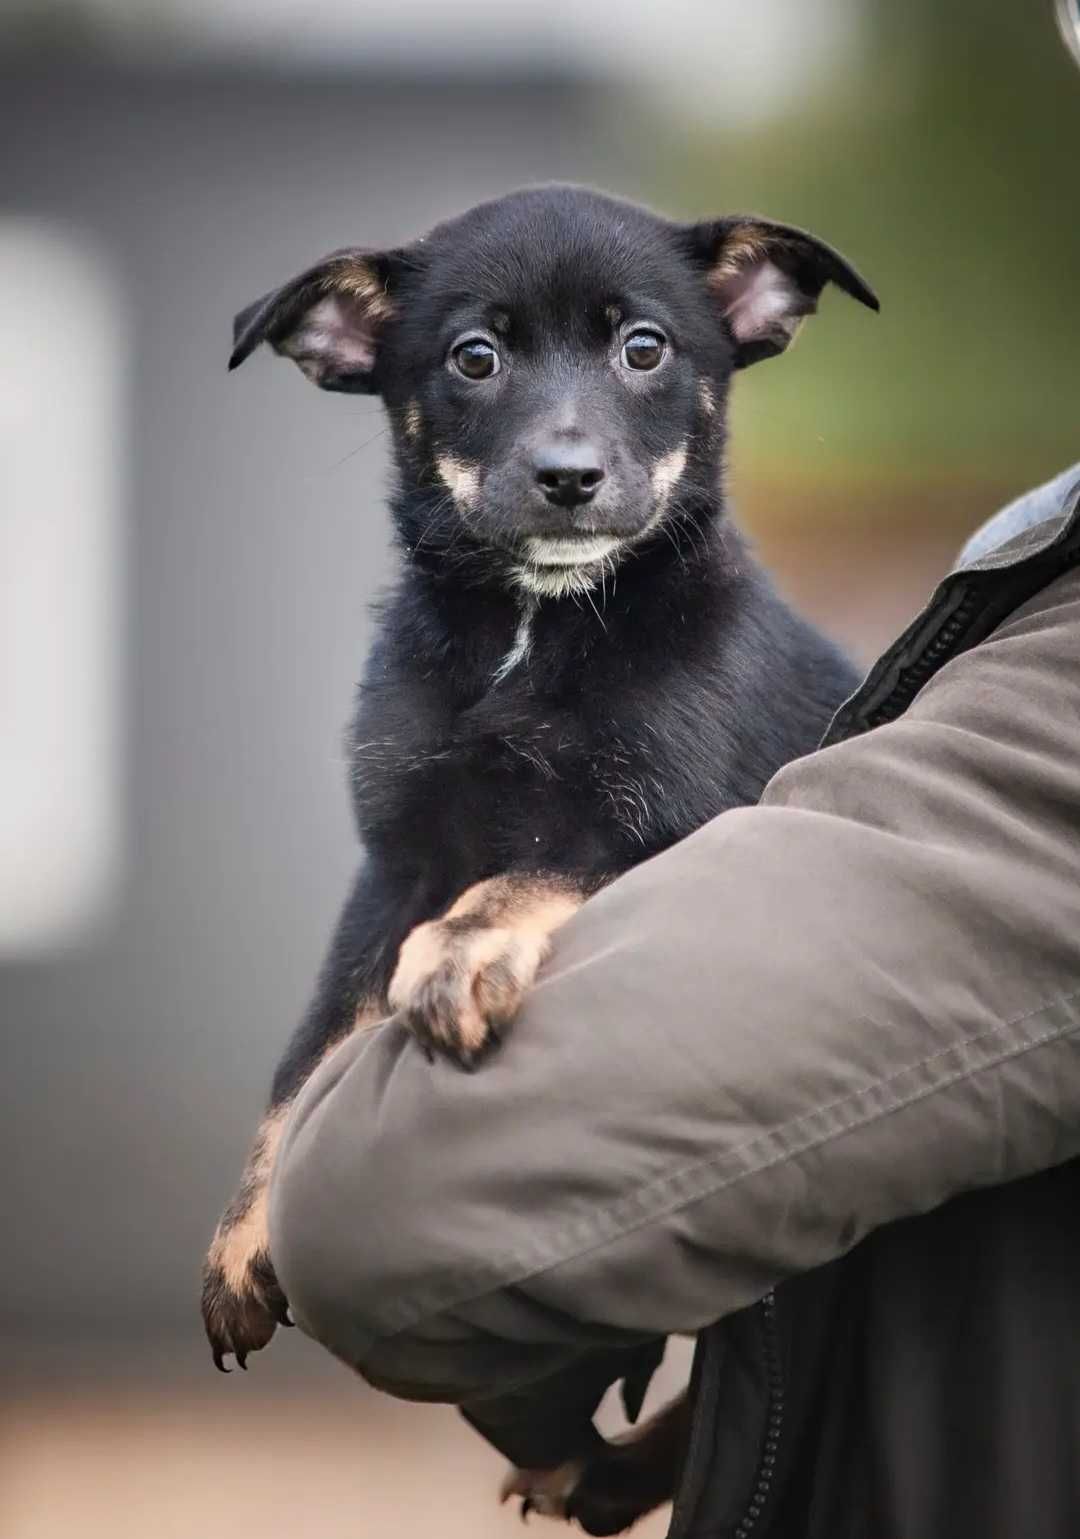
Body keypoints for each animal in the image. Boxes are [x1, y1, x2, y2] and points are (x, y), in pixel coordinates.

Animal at [203, 186, 880, 1495]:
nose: (570, 477)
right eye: (476, 357)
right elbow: (308, 1055)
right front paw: (243, 1232)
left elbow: (521, 874)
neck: (533, 628)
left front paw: (461, 961)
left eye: (645, 348)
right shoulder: (394, 861)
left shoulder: (661, 820)